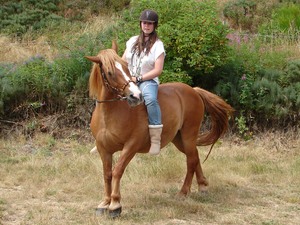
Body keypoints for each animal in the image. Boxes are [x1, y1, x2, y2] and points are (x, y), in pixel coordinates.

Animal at [85, 41, 234, 217]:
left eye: (126, 67)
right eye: (109, 72)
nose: (136, 96)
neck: (111, 114)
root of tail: (194, 90)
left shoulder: (131, 146)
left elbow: (117, 171)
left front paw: (115, 205)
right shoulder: (104, 149)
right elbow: (107, 174)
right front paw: (104, 203)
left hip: (188, 134)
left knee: (191, 160)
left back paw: (183, 192)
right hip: (179, 139)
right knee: (195, 156)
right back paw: (202, 186)